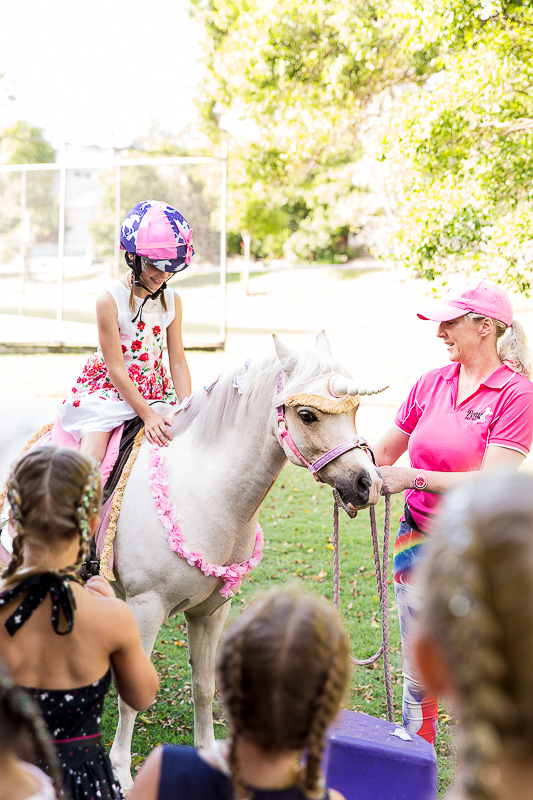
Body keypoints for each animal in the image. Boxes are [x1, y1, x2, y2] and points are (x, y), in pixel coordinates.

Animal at [0, 334, 382, 792]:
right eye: (307, 415)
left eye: (355, 411)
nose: (367, 484)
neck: (203, 488)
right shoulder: (145, 608)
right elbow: (132, 696)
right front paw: (121, 771)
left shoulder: (212, 612)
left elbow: (204, 686)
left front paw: (207, 752)